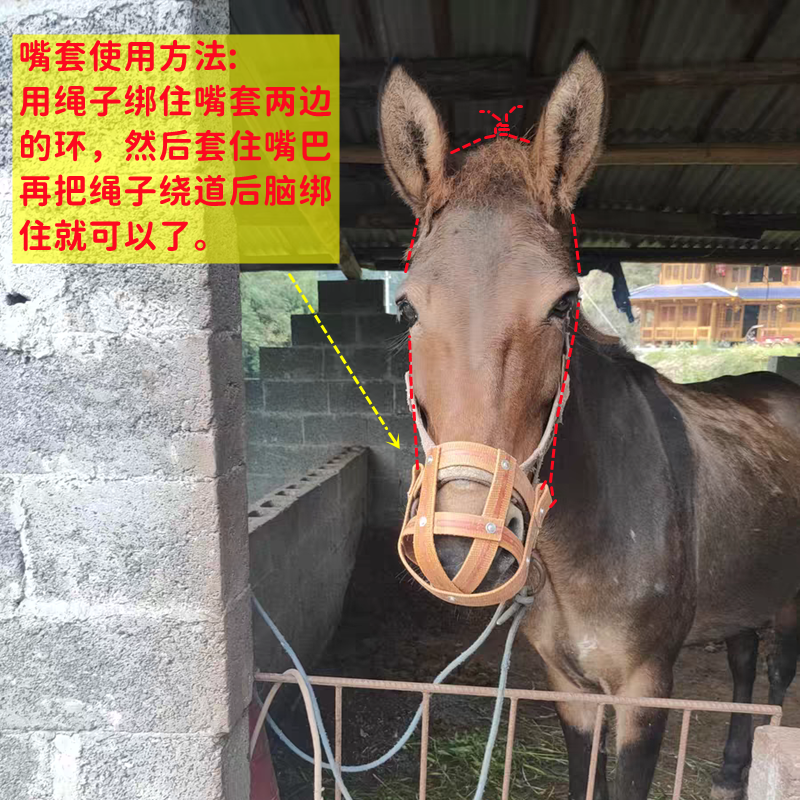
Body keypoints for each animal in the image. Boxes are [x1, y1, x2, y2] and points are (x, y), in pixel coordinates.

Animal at [378, 49, 800, 799]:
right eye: (406, 307)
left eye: (564, 302)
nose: (459, 552)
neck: (579, 549)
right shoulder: (569, 687)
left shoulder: (644, 691)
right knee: (744, 663)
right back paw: (728, 772)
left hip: (789, 606)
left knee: (776, 678)